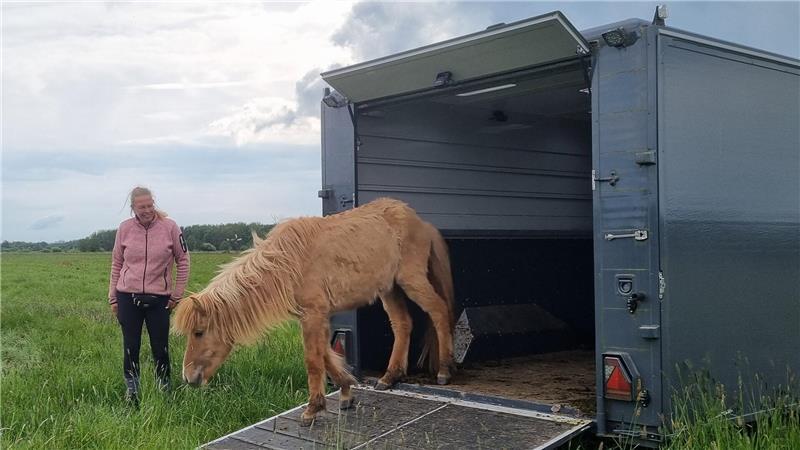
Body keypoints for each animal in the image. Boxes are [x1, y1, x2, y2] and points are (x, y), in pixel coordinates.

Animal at [173, 198, 455, 426]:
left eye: (199, 332)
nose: (188, 378)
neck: (289, 262)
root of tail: (422, 223)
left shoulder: (314, 315)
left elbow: (313, 360)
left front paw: (312, 409)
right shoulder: (314, 317)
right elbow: (326, 356)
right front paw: (346, 392)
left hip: (411, 280)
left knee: (439, 311)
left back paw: (444, 371)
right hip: (390, 289)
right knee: (402, 324)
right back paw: (389, 376)